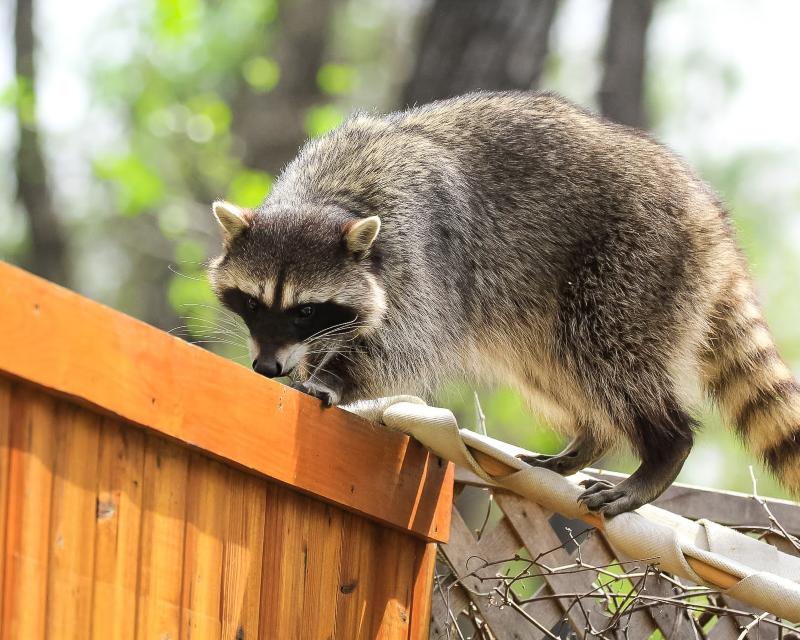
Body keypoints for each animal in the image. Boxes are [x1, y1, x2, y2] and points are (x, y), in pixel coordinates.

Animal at [207, 91, 800, 515]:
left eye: (305, 309)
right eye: (254, 303)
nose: (266, 367)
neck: (329, 198)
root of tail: (709, 217)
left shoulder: (422, 254)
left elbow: (404, 344)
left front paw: (334, 379)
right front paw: (310, 366)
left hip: (636, 262)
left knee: (607, 353)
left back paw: (664, 445)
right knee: (554, 366)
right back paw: (591, 435)